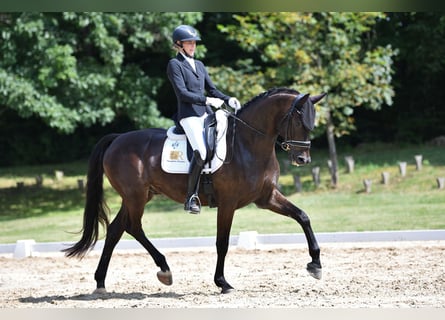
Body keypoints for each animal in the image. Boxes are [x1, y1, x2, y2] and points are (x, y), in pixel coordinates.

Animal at [62, 86, 326, 294]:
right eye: (299, 121)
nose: (302, 160)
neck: (248, 143)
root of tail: (117, 139)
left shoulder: (267, 197)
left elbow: (302, 216)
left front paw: (315, 264)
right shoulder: (228, 203)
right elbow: (222, 242)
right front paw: (222, 282)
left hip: (139, 196)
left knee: (116, 229)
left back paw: (101, 283)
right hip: (135, 196)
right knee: (133, 227)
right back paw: (164, 270)